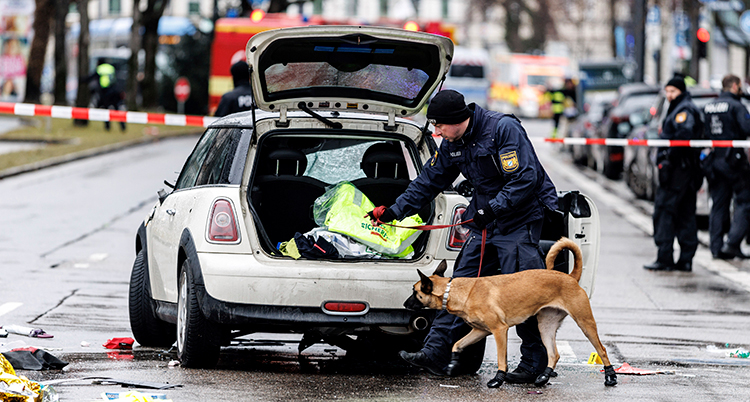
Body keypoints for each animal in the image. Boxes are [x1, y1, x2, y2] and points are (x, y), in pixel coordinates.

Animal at [406, 237, 616, 388]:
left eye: (415, 292)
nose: (405, 304)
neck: (456, 291)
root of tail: (570, 277)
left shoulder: (500, 330)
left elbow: (501, 359)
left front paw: (498, 379)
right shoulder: (480, 331)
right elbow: (457, 344)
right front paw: (452, 364)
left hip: (585, 323)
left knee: (602, 349)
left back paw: (610, 376)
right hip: (545, 326)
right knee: (554, 354)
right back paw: (543, 377)